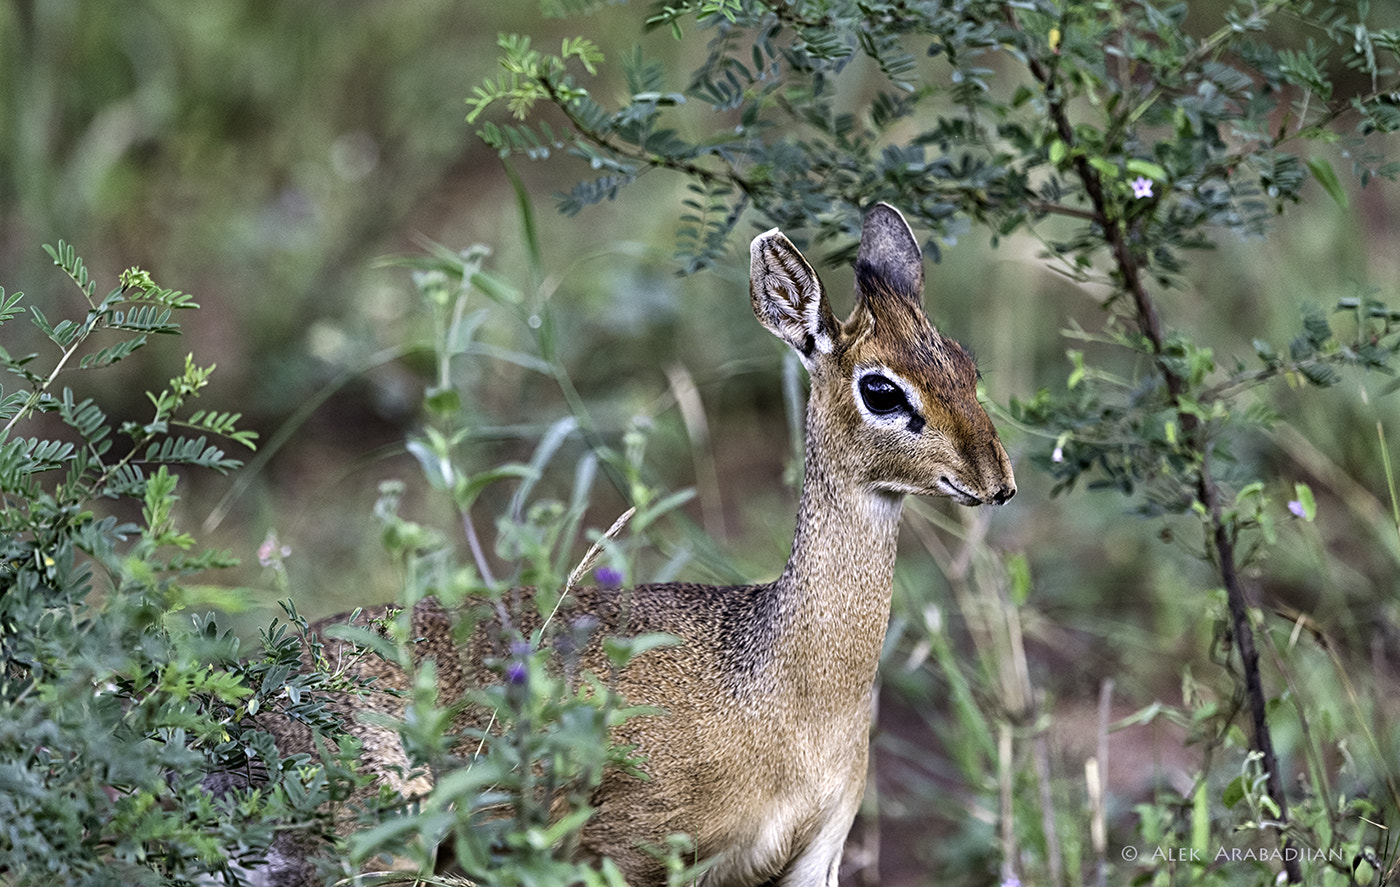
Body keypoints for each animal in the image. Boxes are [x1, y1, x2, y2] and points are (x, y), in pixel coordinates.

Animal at [263, 204, 1013, 878]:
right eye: (881, 389)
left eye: (967, 365)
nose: (997, 479)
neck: (789, 695)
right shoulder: (630, 852)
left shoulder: (816, 856)